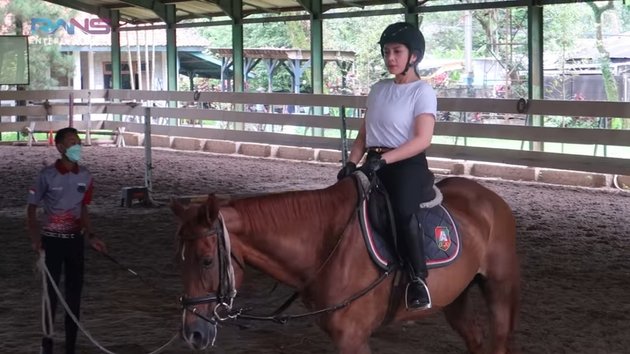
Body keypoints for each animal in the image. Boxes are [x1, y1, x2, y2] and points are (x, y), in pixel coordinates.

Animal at [170, 177, 520, 354]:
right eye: (180, 260)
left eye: (206, 260)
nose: (192, 334)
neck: (327, 244)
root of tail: (490, 197)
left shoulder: (353, 338)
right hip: (456, 296)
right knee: (475, 339)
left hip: (499, 288)